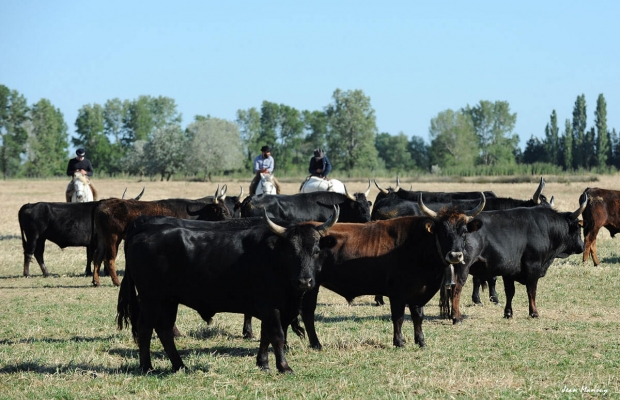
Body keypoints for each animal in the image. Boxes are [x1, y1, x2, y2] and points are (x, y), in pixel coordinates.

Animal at [94, 186, 232, 286]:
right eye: (223, 211)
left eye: (228, 210)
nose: (232, 220)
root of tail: (104, 204)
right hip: (113, 237)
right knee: (109, 259)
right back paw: (116, 282)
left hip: (102, 238)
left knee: (98, 257)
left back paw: (96, 281)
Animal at [116, 208, 340, 374]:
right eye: (291, 251)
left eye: (316, 251)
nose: (305, 281)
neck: (274, 258)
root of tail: (141, 232)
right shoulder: (271, 307)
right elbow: (277, 336)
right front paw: (284, 367)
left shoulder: (275, 309)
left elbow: (265, 335)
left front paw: (263, 363)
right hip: (151, 299)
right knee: (145, 329)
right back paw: (147, 367)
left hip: (169, 301)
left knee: (164, 330)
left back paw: (180, 365)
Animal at [440, 192, 588, 324]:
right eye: (578, 229)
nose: (582, 246)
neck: (545, 228)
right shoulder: (533, 267)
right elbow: (531, 291)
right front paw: (534, 313)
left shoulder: (509, 271)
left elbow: (510, 292)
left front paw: (508, 313)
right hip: (461, 267)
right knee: (456, 289)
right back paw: (456, 317)